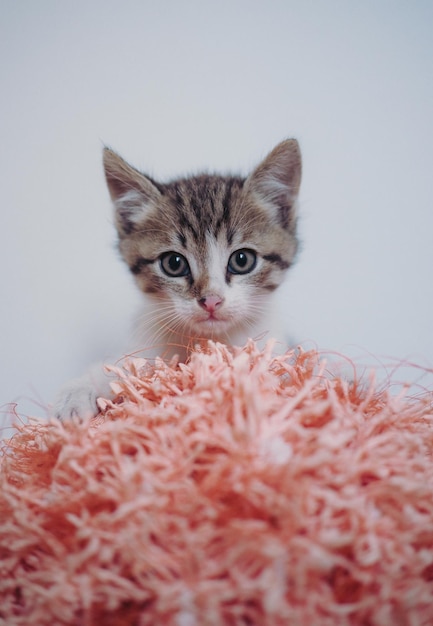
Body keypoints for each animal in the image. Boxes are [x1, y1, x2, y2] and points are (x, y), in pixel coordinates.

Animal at [51, 139, 300, 416]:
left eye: (242, 260)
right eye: (174, 263)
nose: (211, 300)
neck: (207, 342)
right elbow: (122, 366)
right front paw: (78, 391)